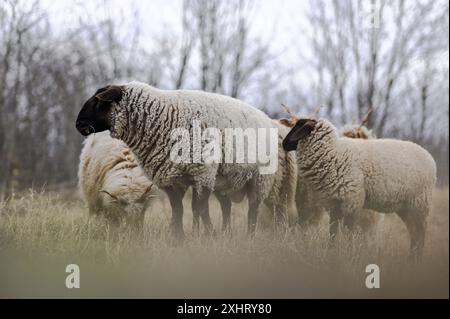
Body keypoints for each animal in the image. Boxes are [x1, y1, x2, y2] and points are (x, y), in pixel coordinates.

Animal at [75, 82, 276, 240]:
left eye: (99, 101)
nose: (79, 124)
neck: (164, 118)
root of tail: (264, 116)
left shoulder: (202, 173)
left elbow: (200, 209)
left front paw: (206, 236)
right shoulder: (171, 178)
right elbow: (178, 210)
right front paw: (178, 238)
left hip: (260, 178)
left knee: (253, 209)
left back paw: (248, 236)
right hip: (223, 181)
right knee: (226, 206)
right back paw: (226, 232)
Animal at [284, 117, 436, 260]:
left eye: (298, 126)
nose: (284, 144)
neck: (334, 152)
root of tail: (430, 159)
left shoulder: (352, 201)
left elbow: (348, 230)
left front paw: (348, 253)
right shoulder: (334, 203)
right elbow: (333, 231)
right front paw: (331, 253)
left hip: (419, 203)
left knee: (420, 232)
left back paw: (416, 260)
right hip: (406, 207)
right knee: (413, 232)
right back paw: (411, 259)